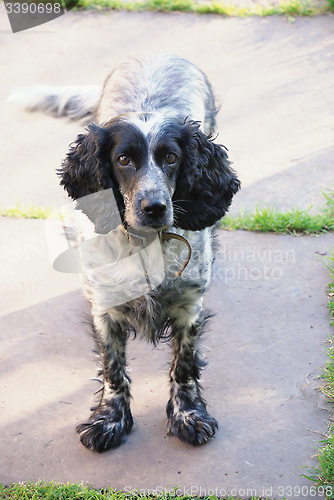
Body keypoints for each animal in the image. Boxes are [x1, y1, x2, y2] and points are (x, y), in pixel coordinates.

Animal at [11, 55, 240, 454]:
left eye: (171, 157)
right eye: (123, 159)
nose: (154, 207)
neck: (144, 245)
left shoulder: (189, 306)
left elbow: (184, 364)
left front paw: (188, 415)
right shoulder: (105, 310)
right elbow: (112, 368)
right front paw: (110, 419)